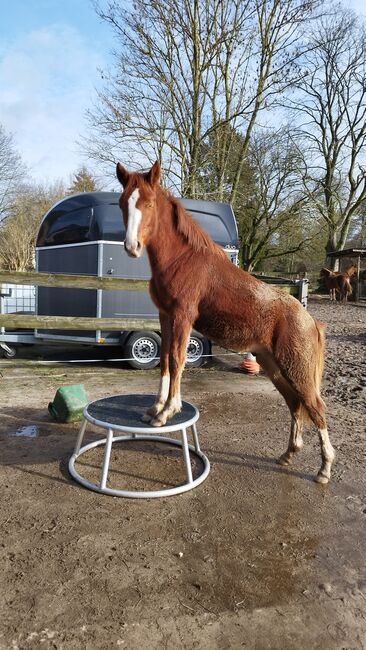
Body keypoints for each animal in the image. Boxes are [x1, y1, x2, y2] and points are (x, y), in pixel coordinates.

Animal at [116, 161, 334, 480]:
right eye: (123, 203)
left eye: (149, 203)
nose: (132, 246)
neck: (183, 260)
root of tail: (311, 322)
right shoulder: (165, 315)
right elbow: (166, 360)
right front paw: (155, 408)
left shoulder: (182, 316)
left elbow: (178, 360)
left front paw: (168, 411)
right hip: (274, 368)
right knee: (295, 405)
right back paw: (288, 455)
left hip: (298, 370)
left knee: (316, 406)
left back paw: (324, 469)